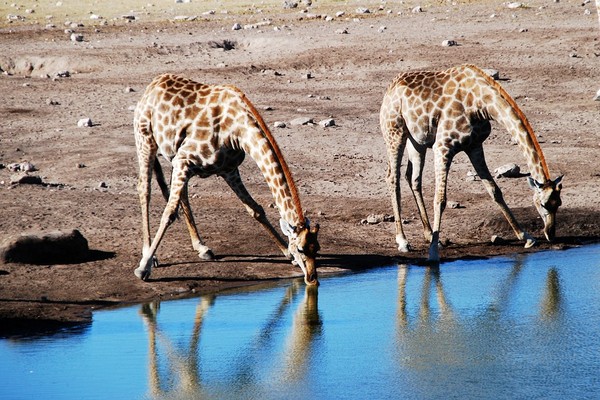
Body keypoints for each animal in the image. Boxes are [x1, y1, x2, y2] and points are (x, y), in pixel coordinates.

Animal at [134, 72, 322, 284]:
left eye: (317, 249)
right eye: (301, 249)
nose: (312, 279)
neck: (238, 131)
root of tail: (153, 85)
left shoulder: (228, 170)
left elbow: (255, 209)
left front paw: (286, 253)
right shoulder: (185, 159)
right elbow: (168, 214)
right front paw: (143, 268)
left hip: (175, 158)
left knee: (182, 195)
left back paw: (202, 247)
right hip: (145, 139)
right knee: (145, 189)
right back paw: (149, 254)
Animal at [380, 63, 564, 262]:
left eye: (559, 204)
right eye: (544, 204)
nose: (551, 234)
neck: (481, 103)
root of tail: (389, 89)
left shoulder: (475, 146)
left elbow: (495, 191)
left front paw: (526, 237)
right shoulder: (442, 146)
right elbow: (440, 199)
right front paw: (433, 254)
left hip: (417, 140)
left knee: (413, 177)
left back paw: (429, 234)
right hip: (395, 132)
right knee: (393, 177)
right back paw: (403, 241)